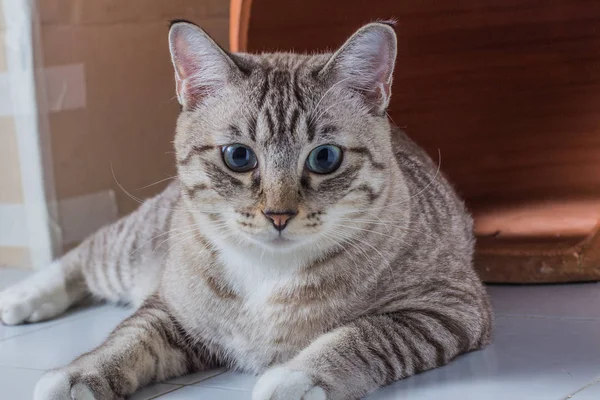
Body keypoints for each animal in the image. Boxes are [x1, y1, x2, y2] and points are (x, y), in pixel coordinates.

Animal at [0, 19, 492, 400]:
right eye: (238, 156)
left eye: (325, 157)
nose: (278, 215)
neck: (268, 273)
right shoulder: (173, 310)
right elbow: (129, 340)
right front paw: (76, 375)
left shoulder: (446, 308)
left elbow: (362, 336)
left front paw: (296, 377)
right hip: (135, 249)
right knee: (84, 254)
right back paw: (19, 298)